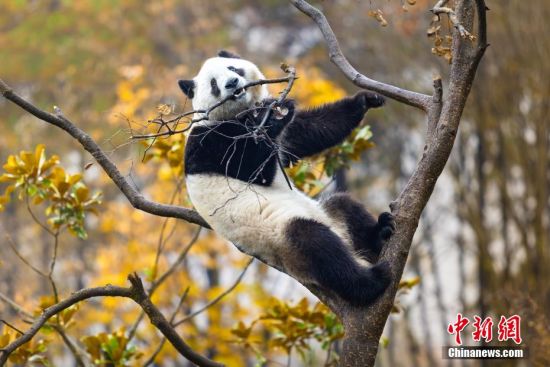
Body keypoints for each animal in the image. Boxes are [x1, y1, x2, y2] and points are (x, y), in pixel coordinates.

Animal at [179, 50, 394, 306]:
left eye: (233, 68)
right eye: (213, 84)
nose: (231, 83)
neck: (240, 115)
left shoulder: (287, 138)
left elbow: (310, 131)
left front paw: (365, 99)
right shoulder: (209, 141)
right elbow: (256, 171)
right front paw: (272, 117)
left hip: (329, 214)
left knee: (347, 206)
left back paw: (380, 234)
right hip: (283, 239)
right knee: (318, 247)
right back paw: (372, 280)